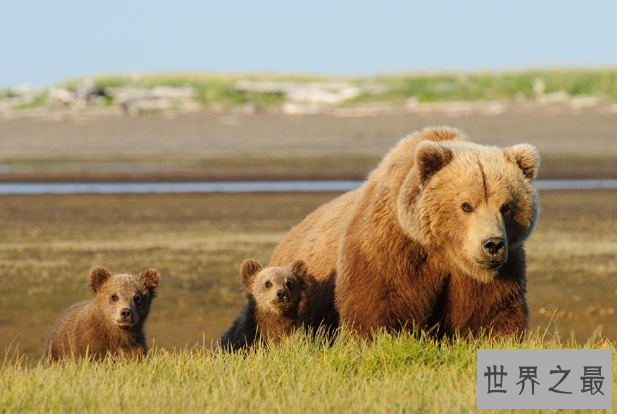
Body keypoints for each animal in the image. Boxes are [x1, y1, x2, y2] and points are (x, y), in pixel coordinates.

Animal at [268, 127, 536, 340]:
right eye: (466, 205)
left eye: (506, 206)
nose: (492, 244)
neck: (445, 254)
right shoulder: (391, 250)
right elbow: (380, 307)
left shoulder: (497, 272)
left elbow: (491, 315)